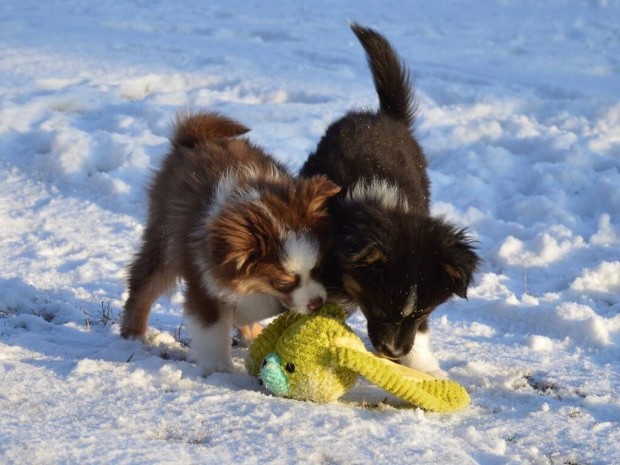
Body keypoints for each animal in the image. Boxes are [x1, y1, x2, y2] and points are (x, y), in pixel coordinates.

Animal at [300, 23, 480, 376]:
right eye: (381, 308)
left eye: (422, 313)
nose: (394, 353)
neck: (382, 204)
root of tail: (383, 116)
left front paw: (426, 368)